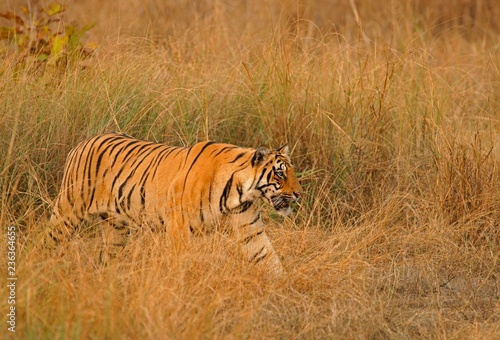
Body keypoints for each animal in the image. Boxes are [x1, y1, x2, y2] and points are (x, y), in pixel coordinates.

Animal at [48, 131, 302, 274]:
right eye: (280, 173)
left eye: (291, 171)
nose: (299, 194)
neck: (241, 192)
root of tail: (83, 142)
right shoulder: (179, 228)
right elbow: (180, 263)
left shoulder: (250, 230)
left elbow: (269, 258)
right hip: (68, 210)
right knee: (49, 240)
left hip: (115, 229)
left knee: (106, 257)